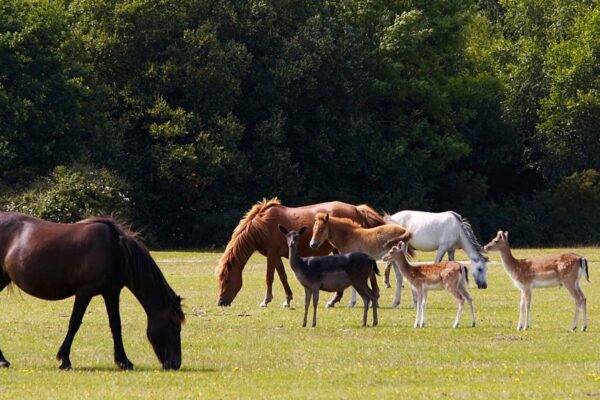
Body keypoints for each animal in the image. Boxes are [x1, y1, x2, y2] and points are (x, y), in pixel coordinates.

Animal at [0, 214, 184, 370]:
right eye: (175, 325)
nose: (175, 364)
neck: (116, 249)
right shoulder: (84, 291)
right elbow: (74, 323)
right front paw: (64, 360)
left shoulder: (111, 292)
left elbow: (116, 325)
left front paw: (123, 361)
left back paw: (3, 360)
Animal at [216, 198, 384, 308]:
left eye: (227, 281)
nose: (221, 302)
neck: (263, 226)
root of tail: (356, 208)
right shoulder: (276, 256)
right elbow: (281, 276)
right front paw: (287, 299)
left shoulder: (272, 254)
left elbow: (271, 277)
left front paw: (267, 300)